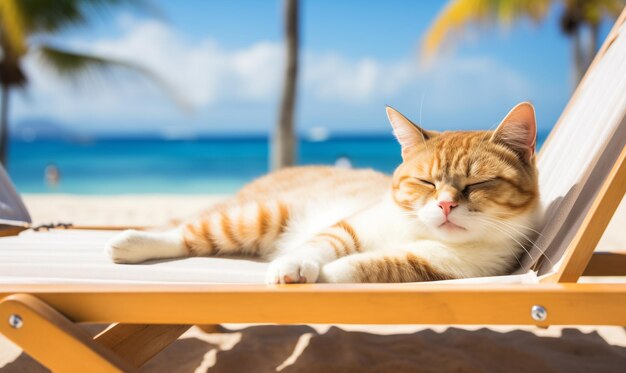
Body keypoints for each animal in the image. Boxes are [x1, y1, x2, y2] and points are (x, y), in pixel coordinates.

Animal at [105, 101, 540, 282]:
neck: (414, 230)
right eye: (427, 182)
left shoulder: (431, 266)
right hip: (261, 214)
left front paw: (322, 276)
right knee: (186, 232)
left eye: (477, 184)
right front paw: (295, 265)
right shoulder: (351, 227)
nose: (446, 204)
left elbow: (362, 266)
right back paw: (130, 242)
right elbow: (322, 244)